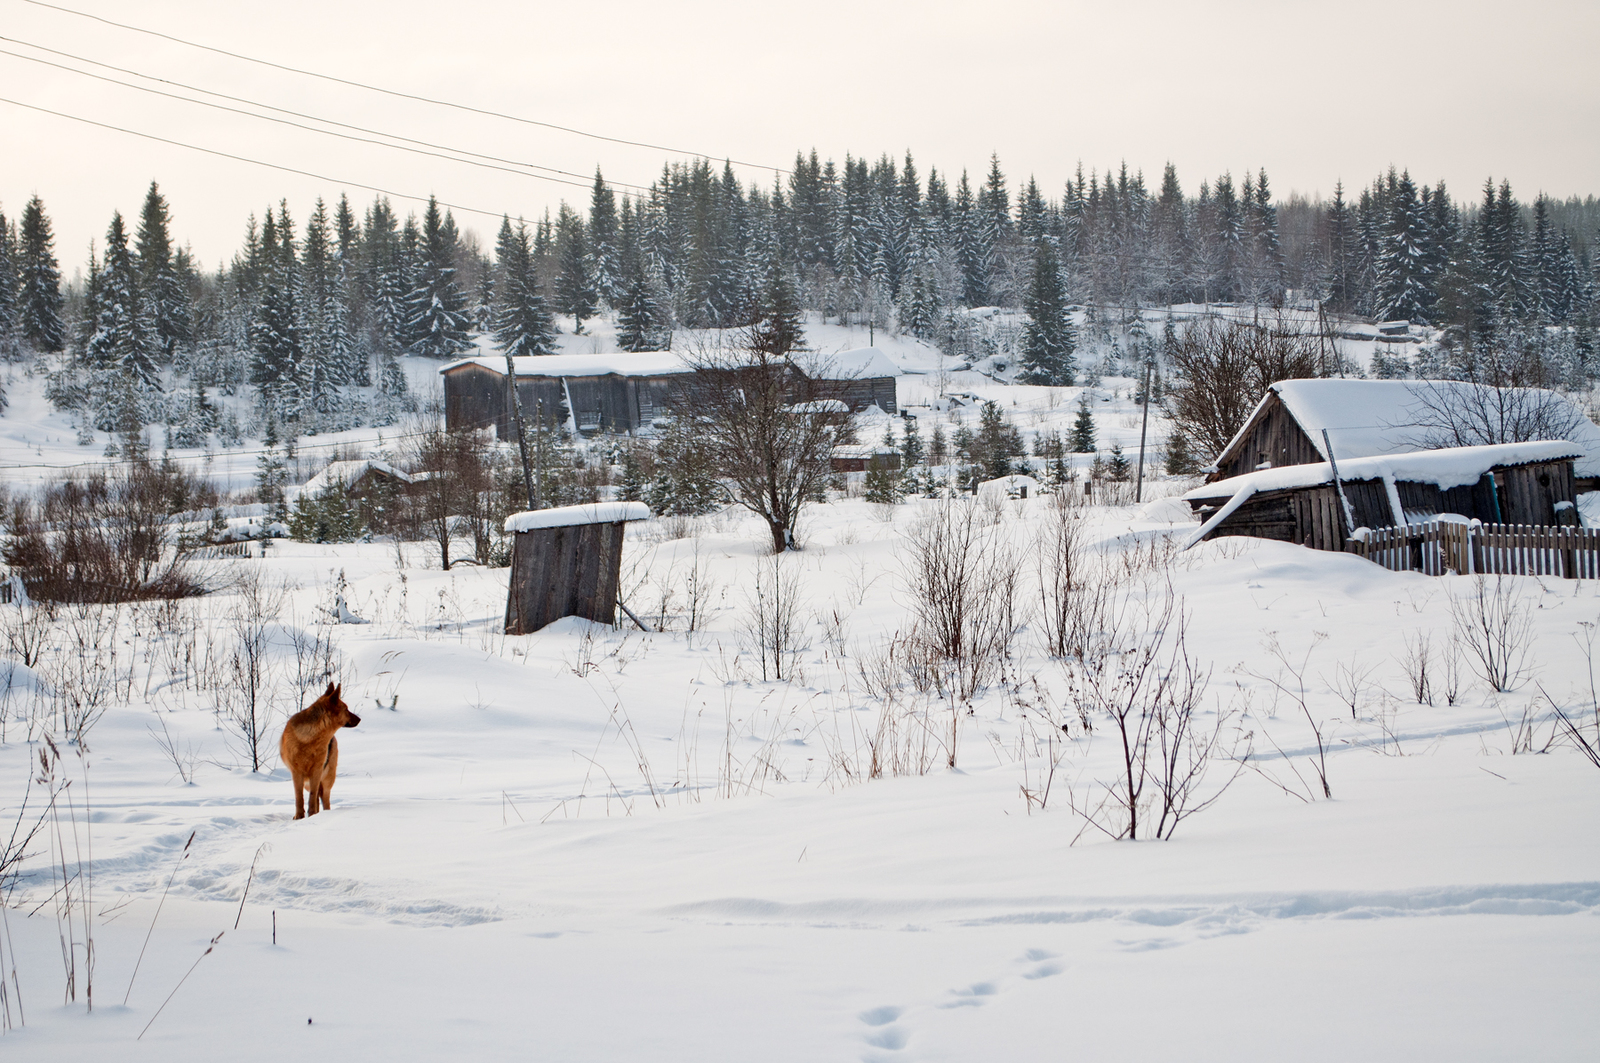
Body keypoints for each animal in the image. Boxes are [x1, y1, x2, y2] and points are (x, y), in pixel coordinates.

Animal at [286, 681, 364, 819]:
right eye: (346, 709)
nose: (360, 719)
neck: (310, 738)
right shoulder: (297, 772)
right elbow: (299, 797)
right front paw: (299, 817)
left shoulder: (317, 770)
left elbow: (312, 797)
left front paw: (311, 815)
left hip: (328, 777)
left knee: (324, 798)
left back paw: (324, 814)